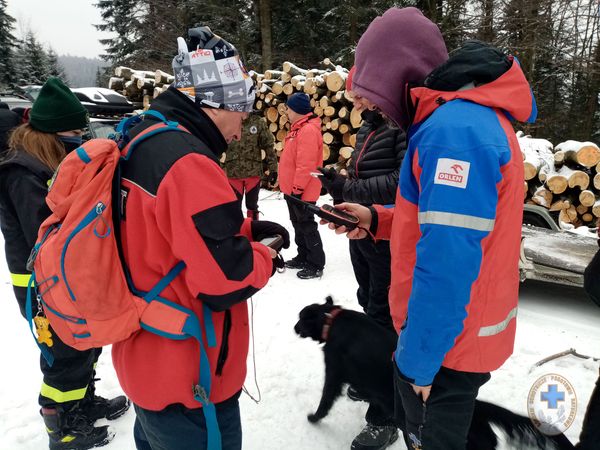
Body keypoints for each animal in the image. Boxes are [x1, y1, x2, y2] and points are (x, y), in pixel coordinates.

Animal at [296, 298, 576, 448]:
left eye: (300, 318)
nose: (294, 326)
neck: (331, 319)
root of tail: (475, 406)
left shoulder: (333, 371)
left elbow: (325, 400)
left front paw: (314, 417)